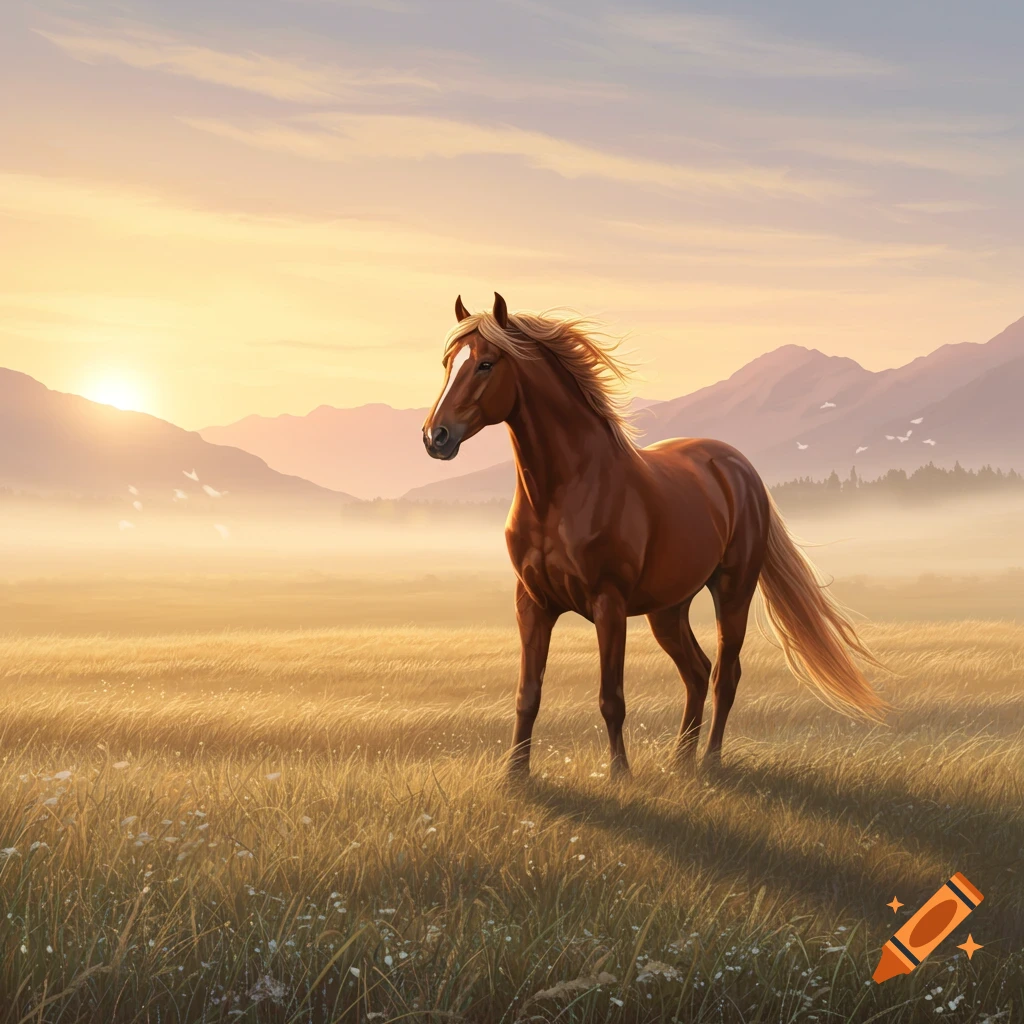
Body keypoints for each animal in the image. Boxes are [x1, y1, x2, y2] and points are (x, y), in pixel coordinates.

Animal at [422, 293, 886, 779]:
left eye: (486, 364)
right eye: (448, 362)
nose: (436, 436)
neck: (563, 490)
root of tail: (738, 468)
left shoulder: (608, 604)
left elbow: (611, 698)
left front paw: (619, 775)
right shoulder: (532, 603)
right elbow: (527, 694)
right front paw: (515, 777)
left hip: (733, 591)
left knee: (725, 675)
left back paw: (710, 761)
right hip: (668, 610)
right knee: (697, 672)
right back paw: (680, 762)